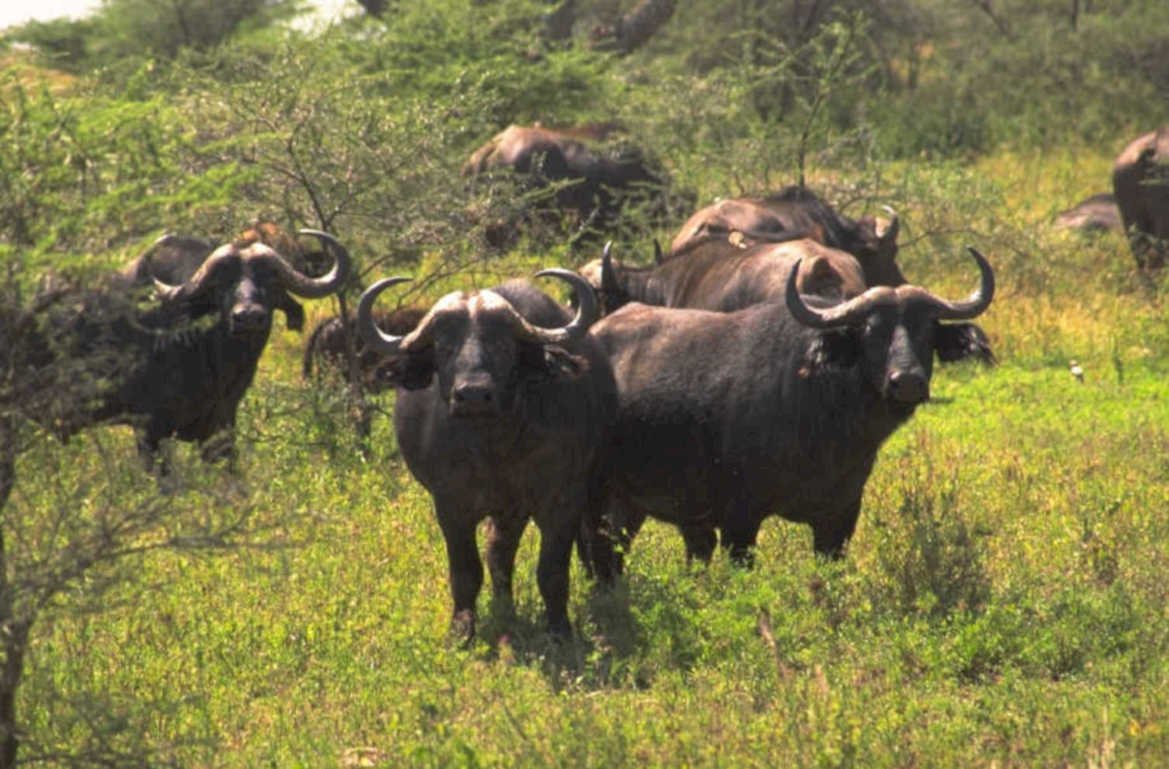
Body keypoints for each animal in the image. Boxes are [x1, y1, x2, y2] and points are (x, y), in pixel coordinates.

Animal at [357, 270, 617, 642]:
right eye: (444, 346)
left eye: (502, 344)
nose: (473, 395)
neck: (495, 447)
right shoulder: (451, 506)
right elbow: (466, 571)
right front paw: (461, 631)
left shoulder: (560, 502)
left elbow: (551, 571)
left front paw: (559, 629)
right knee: (498, 552)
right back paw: (503, 605)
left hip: (580, 492)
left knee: (587, 537)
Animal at [585, 248, 994, 573]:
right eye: (870, 331)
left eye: (927, 329)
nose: (907, 381)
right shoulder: (740, 519)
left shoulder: (839, 519)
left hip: (631, 506)